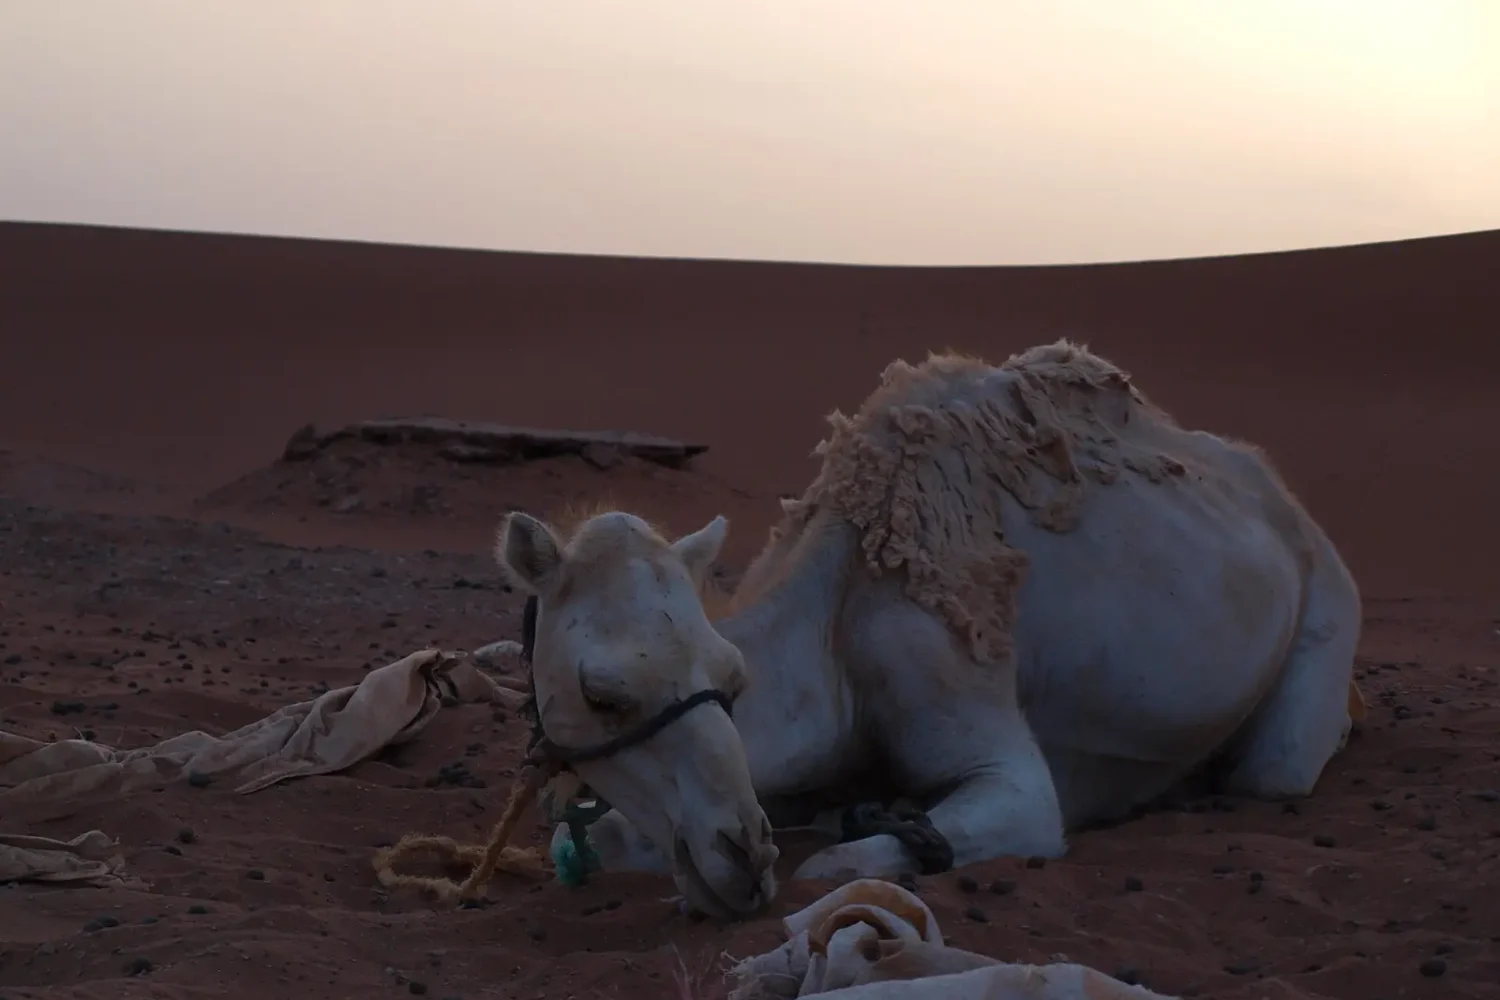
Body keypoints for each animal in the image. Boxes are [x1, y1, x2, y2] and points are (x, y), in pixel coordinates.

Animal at [495, 340, 1364, 922]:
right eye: (602, 695)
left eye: (733, 681)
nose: (742, 851)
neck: (836, 631)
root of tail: (1276, 492)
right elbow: (611, 839)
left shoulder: (978, 726)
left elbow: (836, 865)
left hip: (1329, 601)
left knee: (1276, 768)